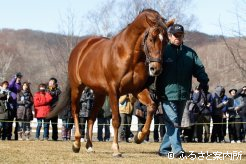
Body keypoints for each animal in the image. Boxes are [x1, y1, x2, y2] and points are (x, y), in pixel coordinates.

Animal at [49, 8, 173, 156]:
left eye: (165, 41)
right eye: (151, 39)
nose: (156, 69)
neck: (129, 55)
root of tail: (80, 48)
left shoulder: (137, 90)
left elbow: (152, 107)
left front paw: (139, 137)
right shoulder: (114, 91)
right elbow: (116, 120)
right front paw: (116, 149)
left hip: (100, 94)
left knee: (91, 118)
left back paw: (89, 145)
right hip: (77, 88)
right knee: (76, 112)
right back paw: (77, 143)